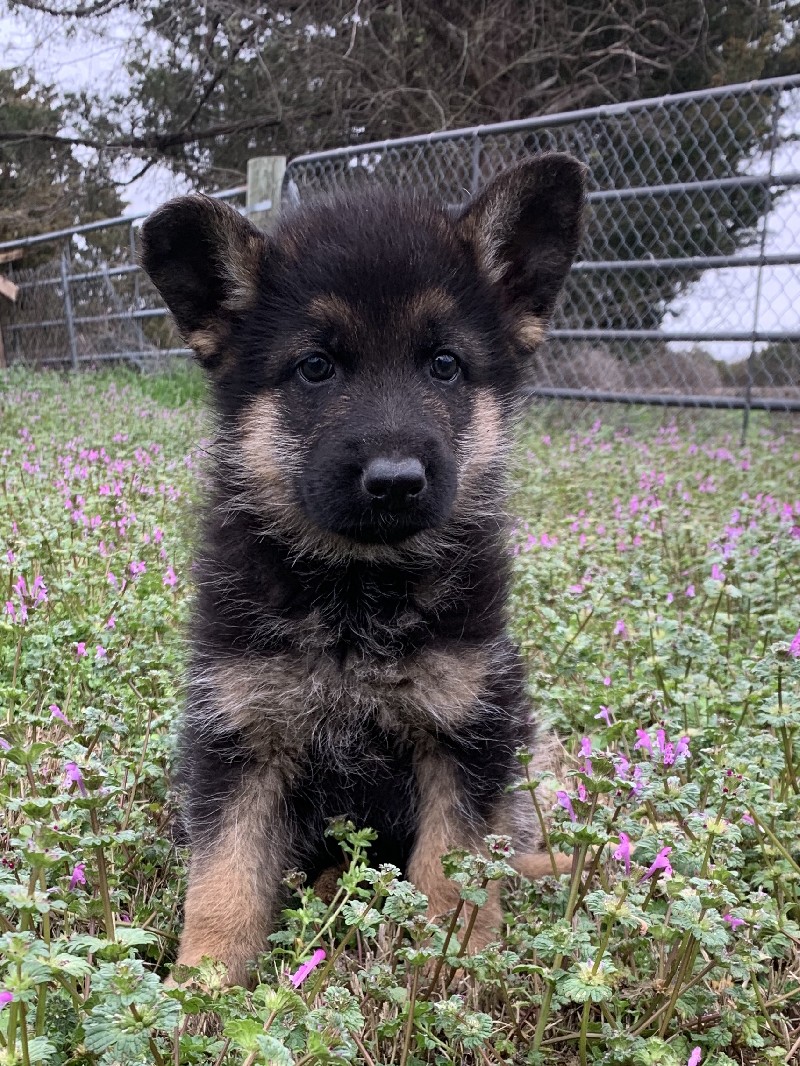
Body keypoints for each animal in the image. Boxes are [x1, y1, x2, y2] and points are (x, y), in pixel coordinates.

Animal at [140, 154, 584, 984]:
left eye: (444, 365)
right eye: (316, 367)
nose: (395, 481)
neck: (358, 589)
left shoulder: (464, 735)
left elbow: (455, 873)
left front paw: (451, 971)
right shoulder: (242, 742)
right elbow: (223, 882)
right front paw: (200, 988)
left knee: (515, 846)